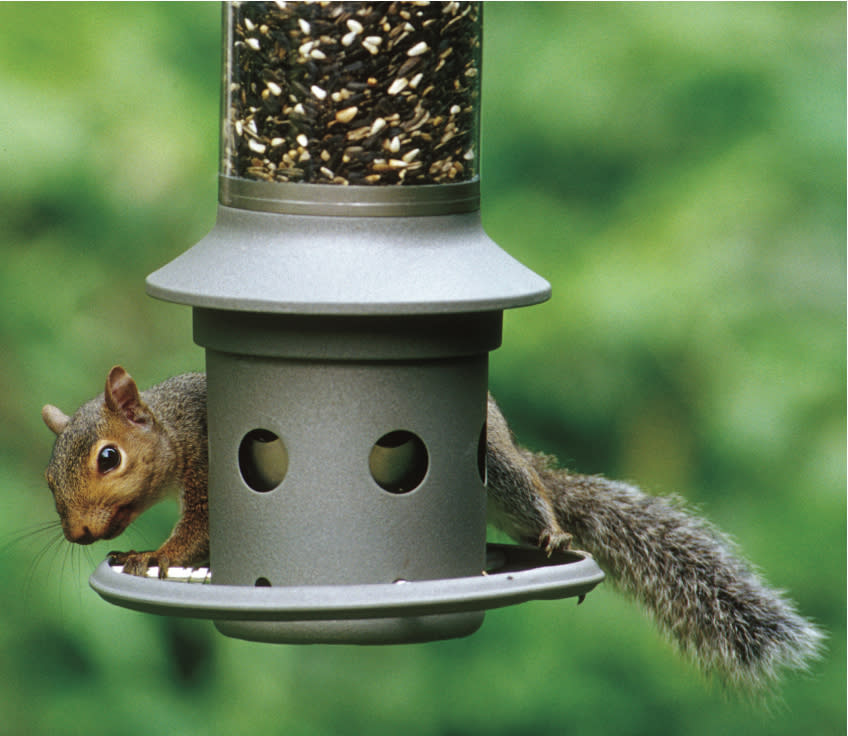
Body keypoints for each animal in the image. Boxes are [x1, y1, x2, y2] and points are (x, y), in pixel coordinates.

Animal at [39, 366, 820, 688]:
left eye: (108, 457)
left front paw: (152, 553)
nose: (78, 536)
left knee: (535, 496)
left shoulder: (206, 470)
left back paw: (554, 533)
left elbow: (194, 531)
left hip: (501, 471)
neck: (175, 430)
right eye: (49, 480)